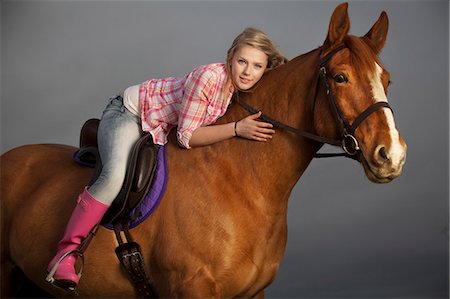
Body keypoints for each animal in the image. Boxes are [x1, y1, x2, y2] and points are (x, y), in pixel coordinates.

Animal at [0, 2, 408, 299]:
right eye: (340, 77)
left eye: (387, 80)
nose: (392, 154)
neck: (241, 179)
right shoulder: (193, 288)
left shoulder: (252, 294)